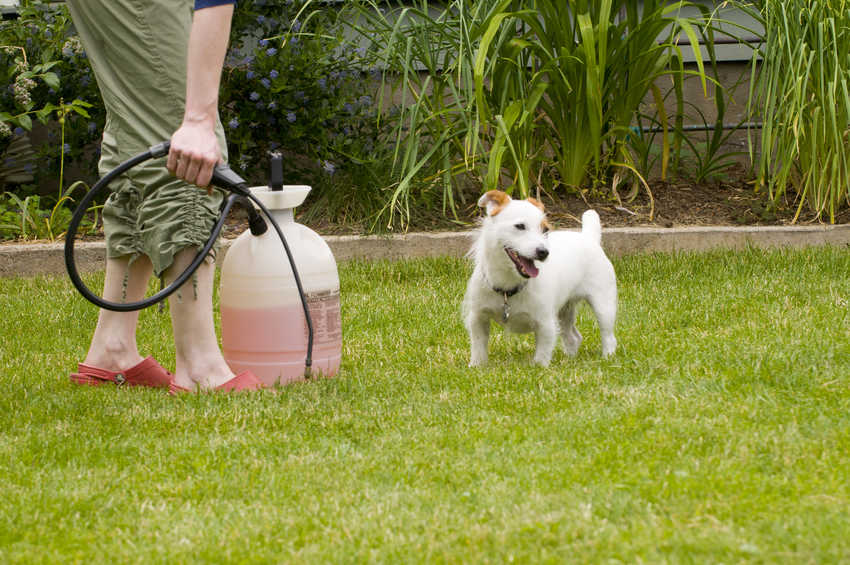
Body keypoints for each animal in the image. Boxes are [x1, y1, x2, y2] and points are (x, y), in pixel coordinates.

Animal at [464, 189, 616, 366]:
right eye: (520, 226)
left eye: (545, 230)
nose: (544, 252)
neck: (508, 285)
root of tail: (589, 237)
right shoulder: (477, 317)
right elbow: (478, 345)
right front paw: (476, 365)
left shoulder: (546, 324)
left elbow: (542, 352)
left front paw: (539, 367)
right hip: (565, 311)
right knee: (573, 338)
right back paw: (569, 359)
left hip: (603, 306)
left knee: (608, 337)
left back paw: (607, 357)